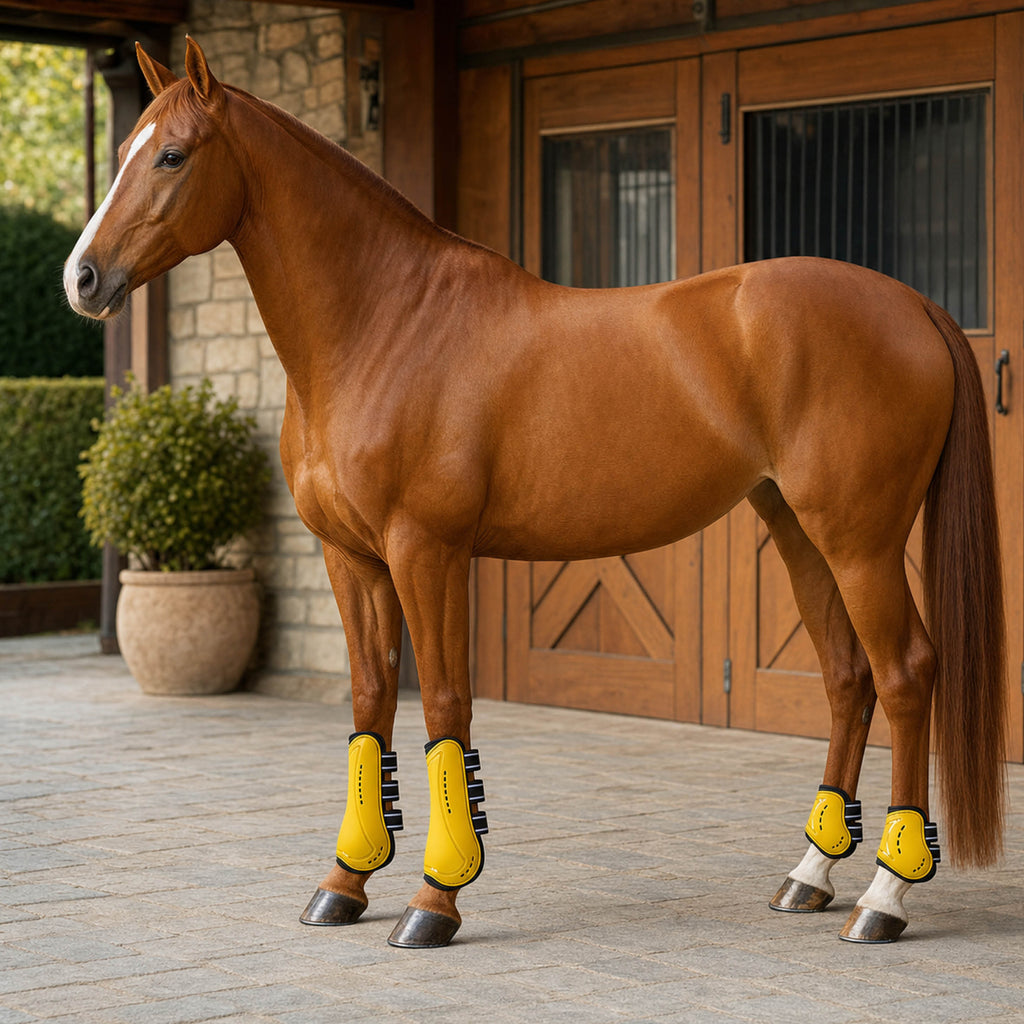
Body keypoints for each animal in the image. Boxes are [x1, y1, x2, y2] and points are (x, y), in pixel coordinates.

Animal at [64, 37, 1006, 948]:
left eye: (174, 154)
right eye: (126, 149)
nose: (83, 278)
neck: (385, 323)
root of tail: (914, 305)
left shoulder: (428, 551)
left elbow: (446, 706)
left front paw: (435, 900)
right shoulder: (351, 558)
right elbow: (372, 704)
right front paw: (342, 884)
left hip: (860, 541)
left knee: (905, 674)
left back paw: (882, 899)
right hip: (801, 532)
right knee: (847, 678)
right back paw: (808, 877)